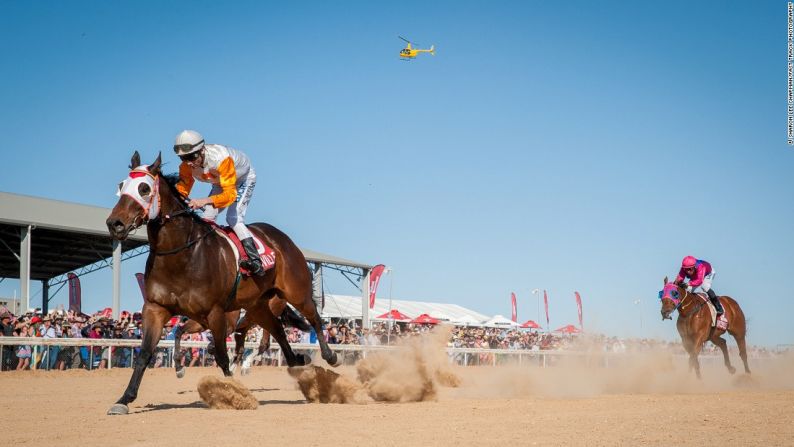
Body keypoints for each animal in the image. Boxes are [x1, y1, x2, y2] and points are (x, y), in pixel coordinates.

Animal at [103, 152, 336, 414]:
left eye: (143, 188)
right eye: (121, 185)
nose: (115, 223)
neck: (181, 255)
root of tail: (283, 239)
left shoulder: (215, 313)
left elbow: (222, 355)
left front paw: (236, 393)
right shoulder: (156, 308)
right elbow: (145, 353)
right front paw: (124, 399)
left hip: (296, 292)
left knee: (314, 318)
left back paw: (329, 356)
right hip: (257, 307)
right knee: (276, 331)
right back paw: (297, 361)